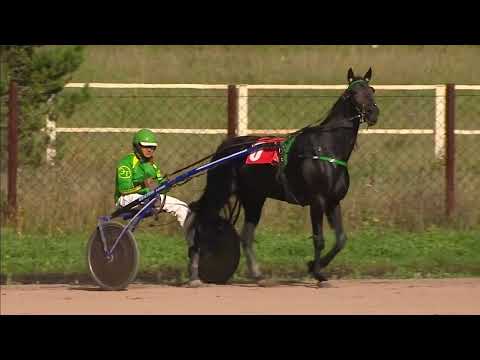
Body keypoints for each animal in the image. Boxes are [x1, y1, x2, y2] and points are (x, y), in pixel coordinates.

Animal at [186, 69, 380, 286]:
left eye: (371, 90)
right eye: (353, 93)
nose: (373, 113)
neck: (327, 147)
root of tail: (225, 146)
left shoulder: (333, 202)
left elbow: (340, 240)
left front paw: (313, 266)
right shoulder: (317, 201)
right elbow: (319, 239)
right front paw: (318, 273)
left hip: (254, 198)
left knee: (246, 237)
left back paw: (257, 275)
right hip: (221, 189)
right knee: (201, 223)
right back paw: (194, 274)